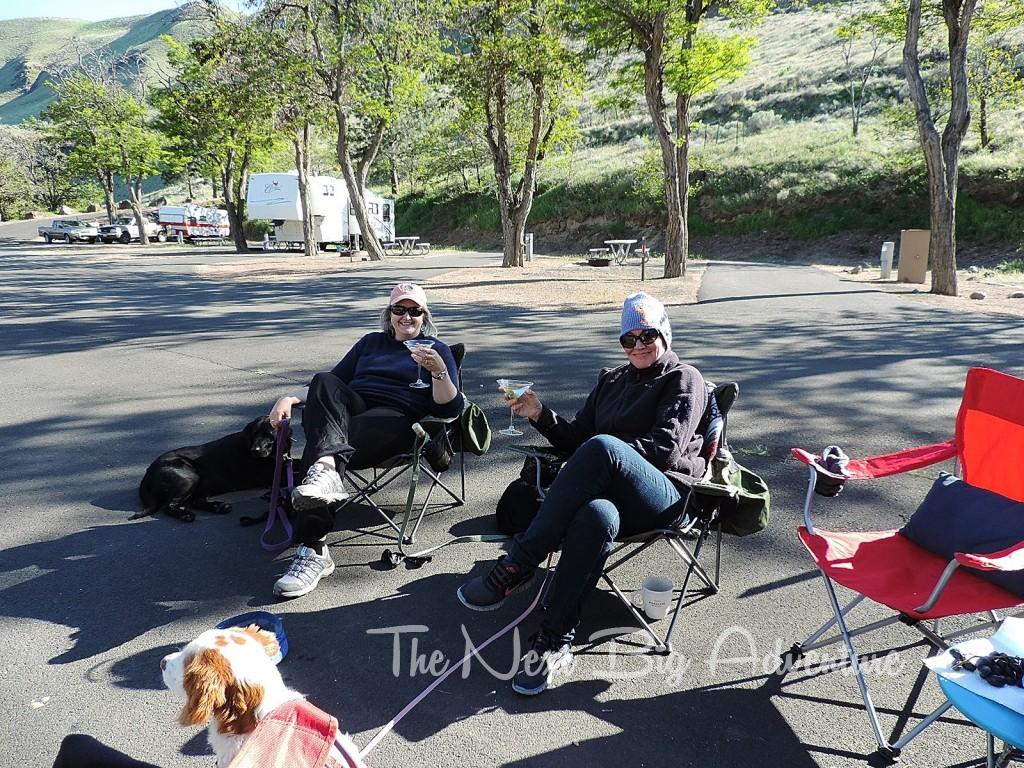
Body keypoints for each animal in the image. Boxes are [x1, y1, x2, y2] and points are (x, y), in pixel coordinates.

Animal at [136, 415, 282, 524]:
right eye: (254, 434)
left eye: (269, 435)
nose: (255, 450)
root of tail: (148, 472)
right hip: (190, 478)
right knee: (169, 505)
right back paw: (186, 515)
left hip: (203, 484)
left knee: (194, 501)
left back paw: (219, 507)